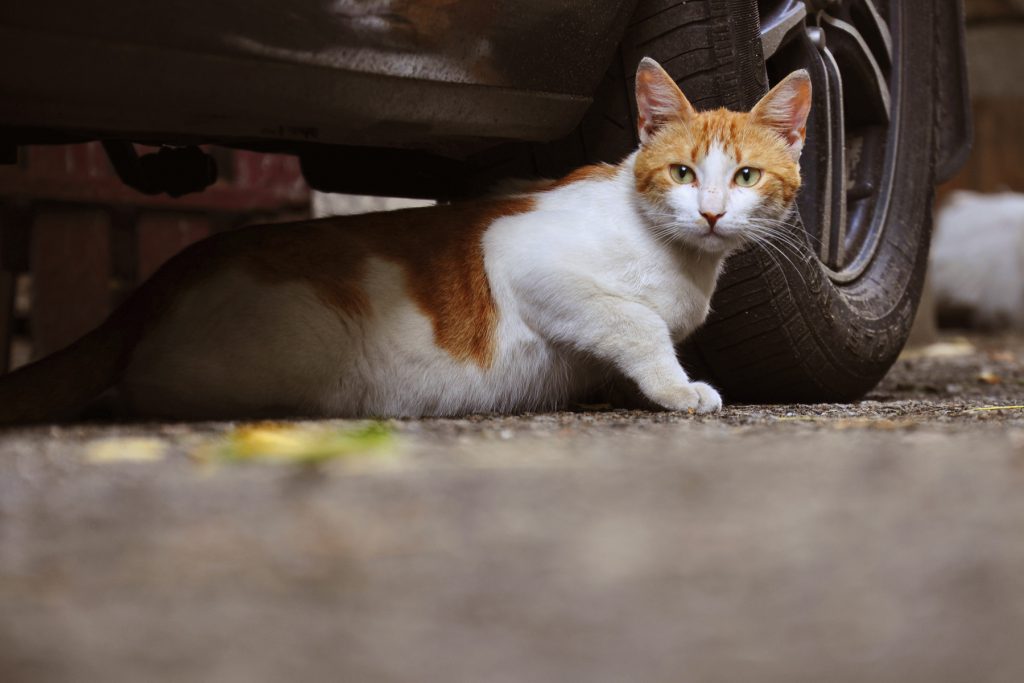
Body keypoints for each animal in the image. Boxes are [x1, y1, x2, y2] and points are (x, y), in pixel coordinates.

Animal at [0, 58, 811, 421]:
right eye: (681, 172)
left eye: (744, 175)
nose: (711, 212)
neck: (680, 260)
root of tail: (165, 275)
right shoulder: (529, 259)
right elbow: (635, 322)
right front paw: (677, 388)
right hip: (287, 357)